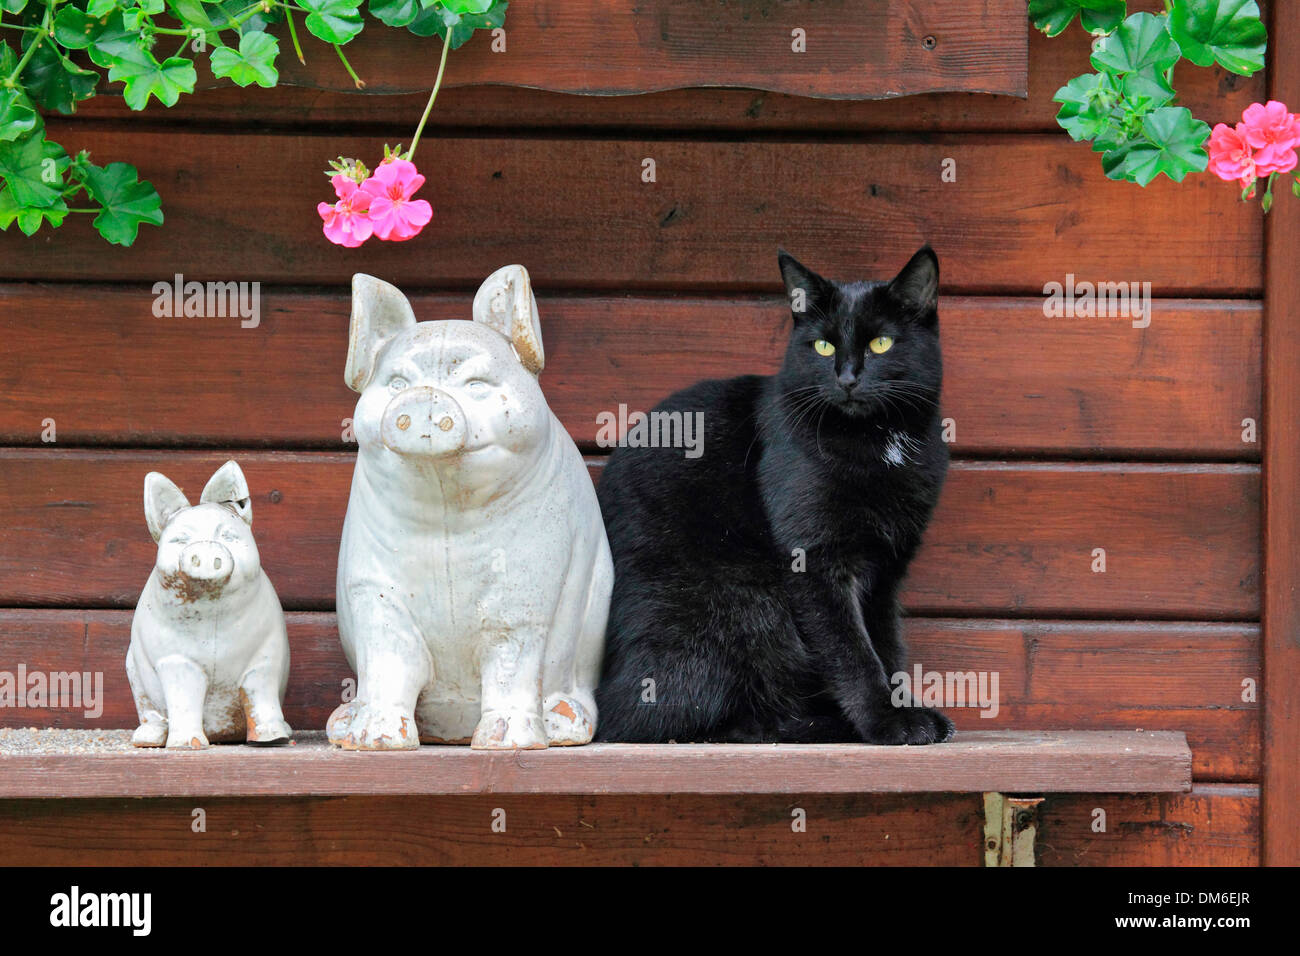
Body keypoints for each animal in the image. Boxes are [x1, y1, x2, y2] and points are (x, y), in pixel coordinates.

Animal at [595, 247, 956, 749]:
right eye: (823, 347)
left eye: (881, 344)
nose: (847, 377)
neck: (877, 441)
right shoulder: (815, 560)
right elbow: (853, 651)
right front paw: (888, 722)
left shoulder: (887, 567)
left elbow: (886, 643)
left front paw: (903, 707)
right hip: (747, 602)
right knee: (690, 719)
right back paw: (825, 725)